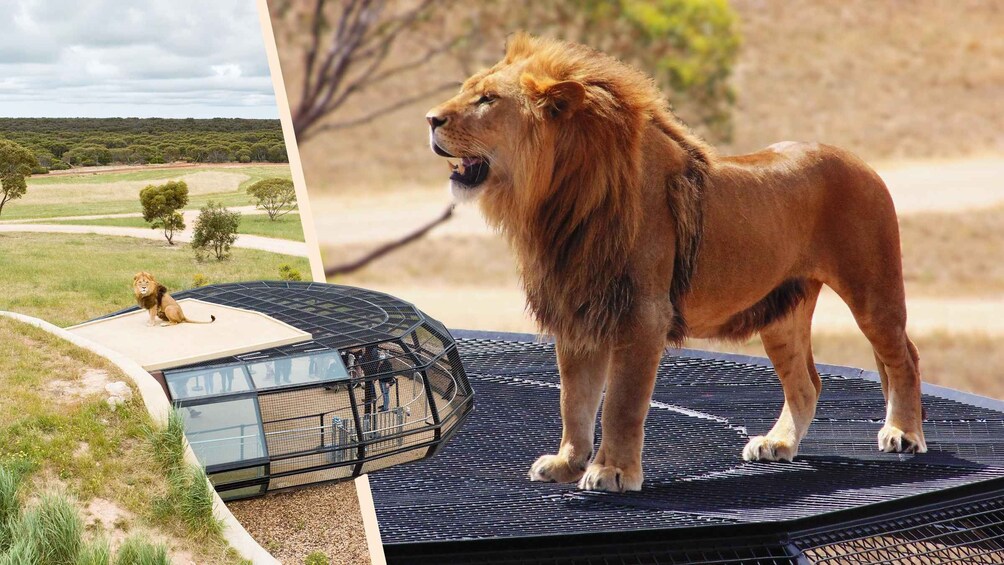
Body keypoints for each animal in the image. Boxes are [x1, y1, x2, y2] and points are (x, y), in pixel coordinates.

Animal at [426, 33, 926, 493]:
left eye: (488, 99)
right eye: (468, 89)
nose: (430, 119)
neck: (557, 198)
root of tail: (859, 161)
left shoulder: (642, 314)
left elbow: (621, 402)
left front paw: (612, 471)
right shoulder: (578, 312)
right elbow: (574, 401)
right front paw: (567, 463)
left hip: (872, 291)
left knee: (904, 358)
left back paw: (903, 432)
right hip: (781, 313)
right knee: (807, 383)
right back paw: (778, 443)